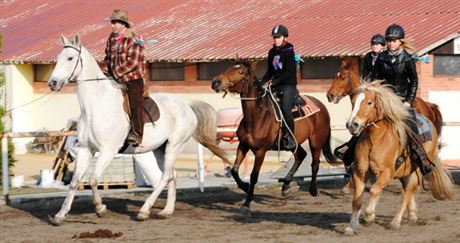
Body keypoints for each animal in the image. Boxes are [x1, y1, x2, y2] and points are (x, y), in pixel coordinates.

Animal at [47, 33, 229, 225]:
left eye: (70, 58)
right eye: (58, 58)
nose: (53, 83)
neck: (96, 106)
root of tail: (186, 104)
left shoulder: (108, 150)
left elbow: (93, 179)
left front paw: (100, 209)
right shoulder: (85, 149)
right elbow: (75, 182)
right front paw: (60, 215)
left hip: (175, 145)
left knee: (165, 176)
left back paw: (144, 211)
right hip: (160, 149)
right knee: (171, 175)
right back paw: (166, 211)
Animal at [212, 61, 338, 214]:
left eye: (241, 72)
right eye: (230, 67)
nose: (216, 82)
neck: (258, 115)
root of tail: (322, 106)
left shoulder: (260, 151)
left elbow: (254, 176)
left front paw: (247, 203)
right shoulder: (243, 145)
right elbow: (234, 170)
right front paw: (245, 186)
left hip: (316, 141)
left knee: (315, 164)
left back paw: (313, 190)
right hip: (293, 143)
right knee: (301, 155)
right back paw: (285, 186)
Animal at [344, 81, 452, 234]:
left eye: (369, 102)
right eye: (353, 102)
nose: (352, 125)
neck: (375, 140)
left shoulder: (387, 173)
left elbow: (374, 190)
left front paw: (369, 217)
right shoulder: (359, 173)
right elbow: (356, 200)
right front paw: (351, 226)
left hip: (417, 172)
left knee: (406, 194)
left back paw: (396, 222)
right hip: (405, 174)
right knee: (408, 192)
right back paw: (412, 216)